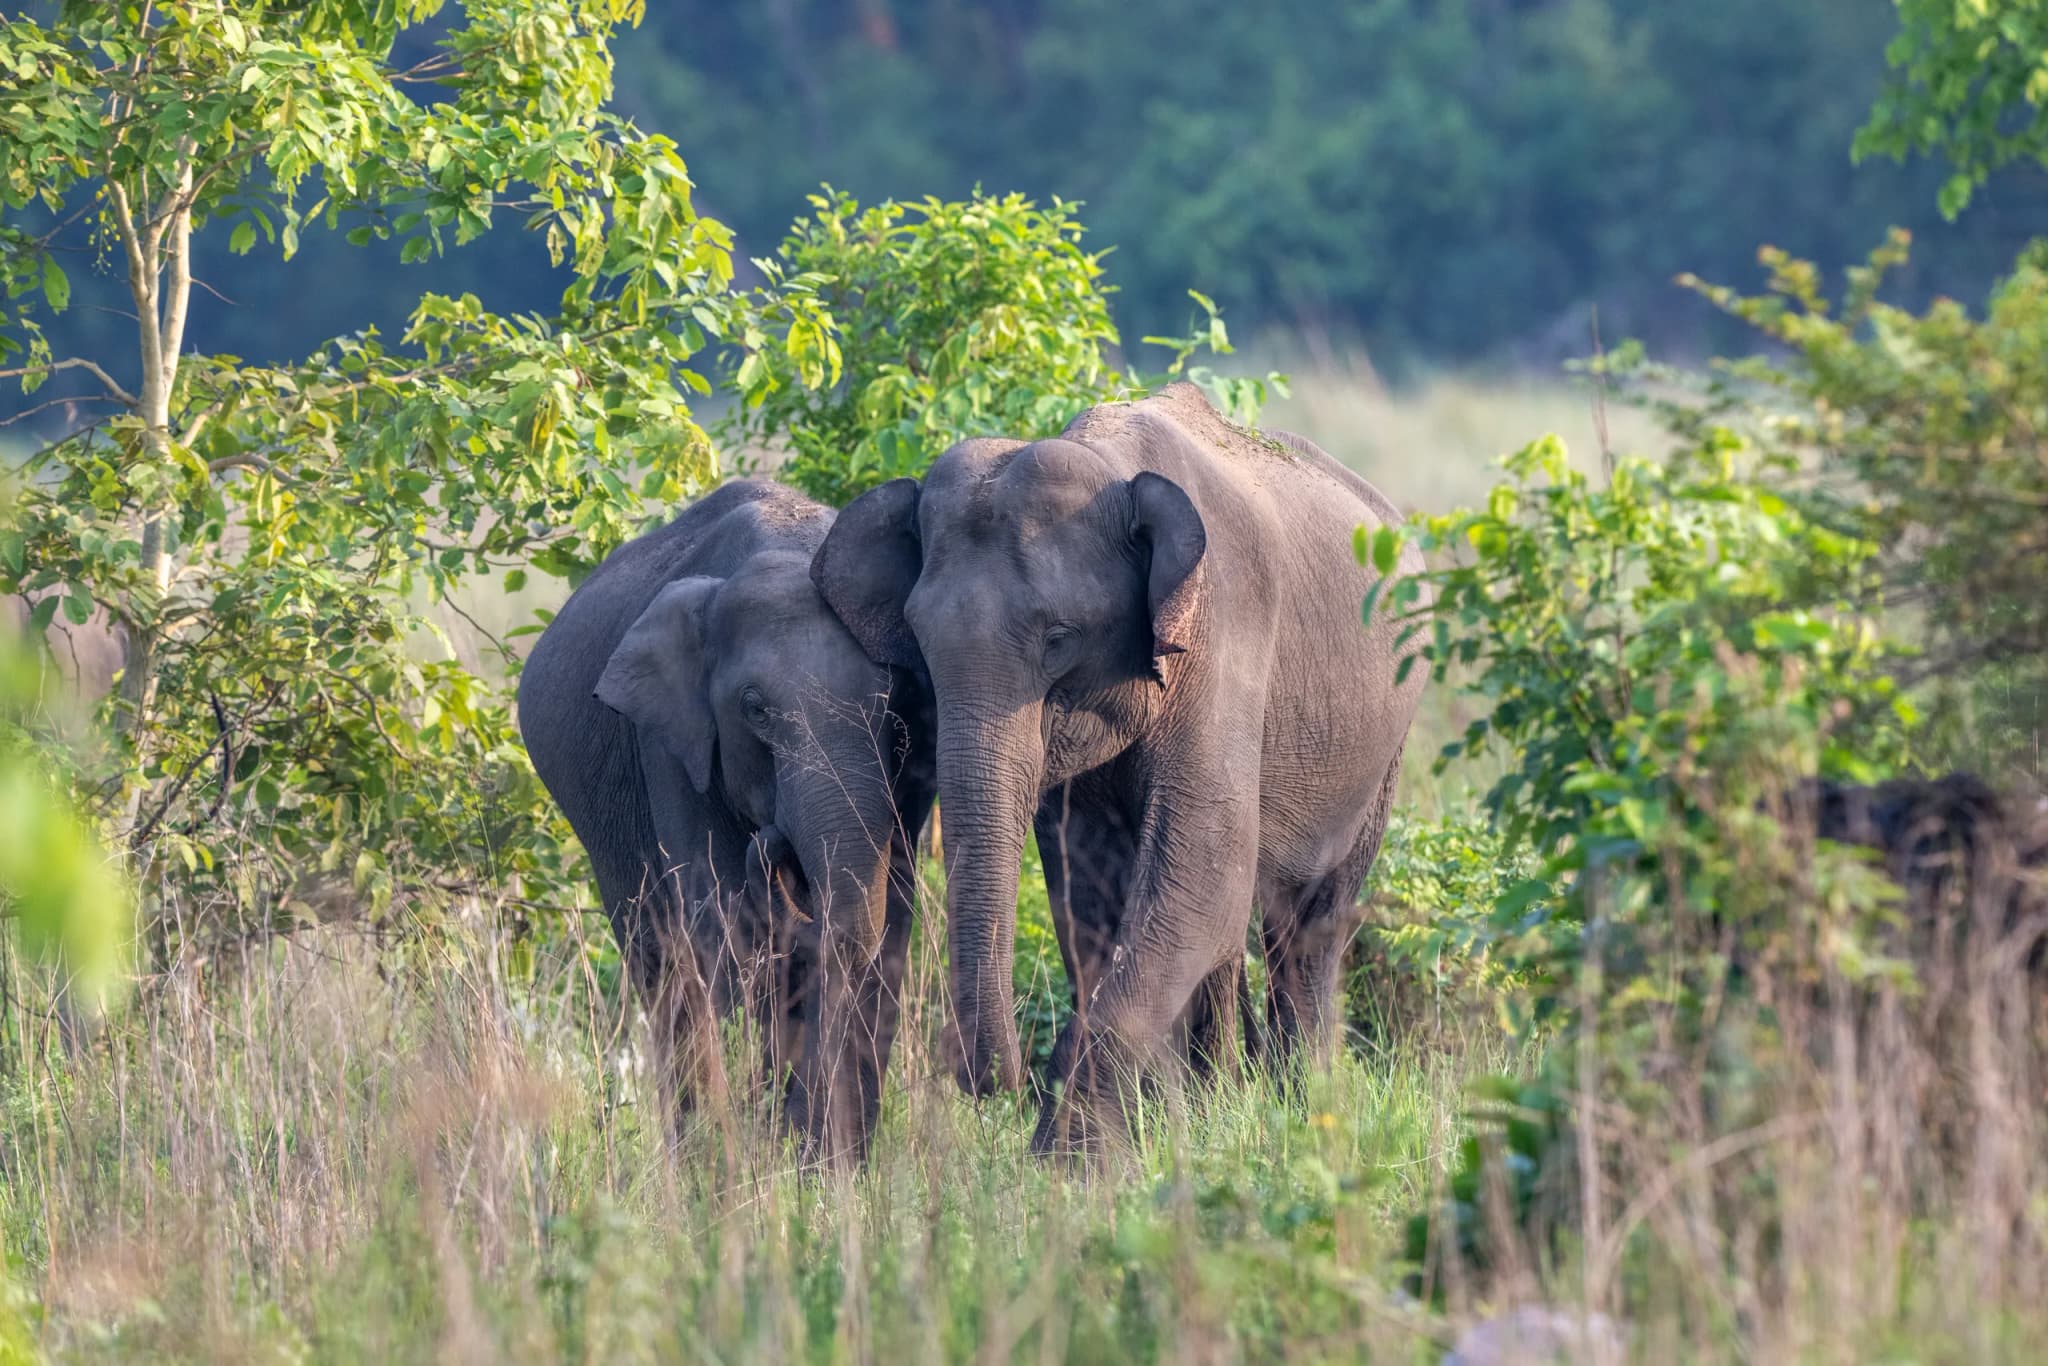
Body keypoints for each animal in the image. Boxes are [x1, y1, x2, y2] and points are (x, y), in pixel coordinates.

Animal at [518, 479, 935, 1166]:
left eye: (891, 701)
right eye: (754, 709)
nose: (776, 845)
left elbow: (886, 922)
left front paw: (824, 1164)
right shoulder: (667, 740)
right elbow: (723, 919)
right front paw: (777, 1154)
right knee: (660, 961)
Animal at [812, 383, 1427, 1154]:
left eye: (1059, 638)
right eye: (918, 640)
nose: (991, 1080)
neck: (1111, 466)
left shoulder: (1226, 630)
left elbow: (1206, 866)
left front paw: (1072, 1158)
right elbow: (1092, 890)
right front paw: (1130, 1137)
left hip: (1385, 749)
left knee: (1309, 921)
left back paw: (1305, 1112)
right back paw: (1223, 1105)